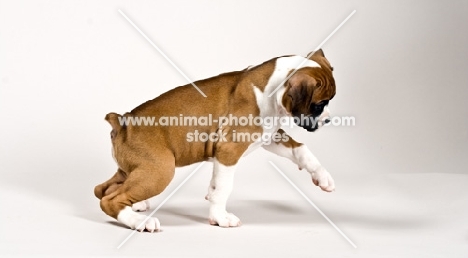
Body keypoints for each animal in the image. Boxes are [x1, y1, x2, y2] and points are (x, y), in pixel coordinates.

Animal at [94, 48, 336, 232]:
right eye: (319, 105)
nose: (328, 119)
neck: (270, 89)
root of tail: (123, 122)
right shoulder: (229, 151)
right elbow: (223, 188)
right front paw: (220, 217)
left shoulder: (270, 137)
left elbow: (301, 150)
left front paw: (322, 176)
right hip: (159, 170)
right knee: (109, 199)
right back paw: (140, 222)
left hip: (134, 169)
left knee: (103, 189)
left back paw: (137, 205)